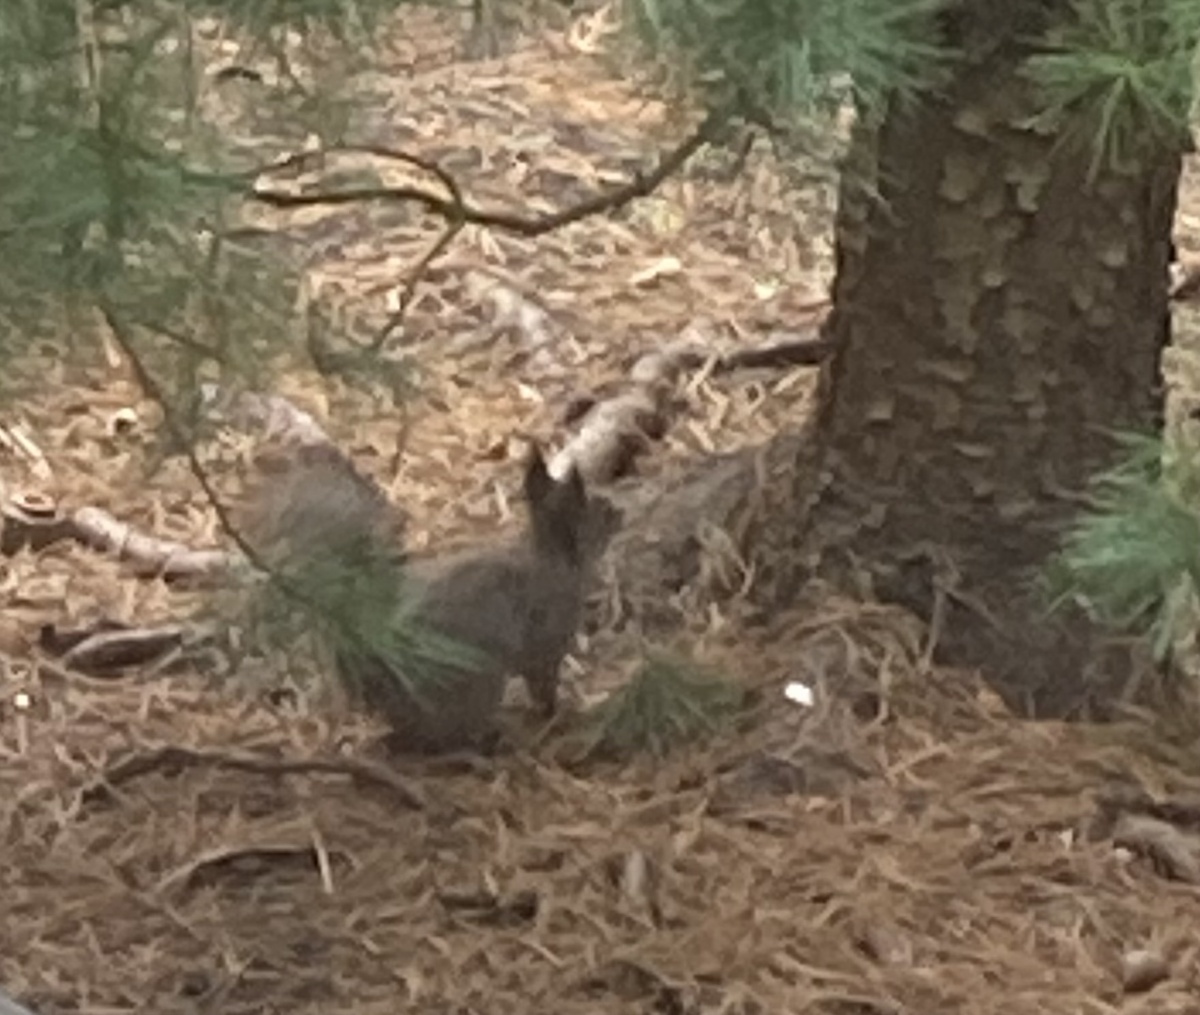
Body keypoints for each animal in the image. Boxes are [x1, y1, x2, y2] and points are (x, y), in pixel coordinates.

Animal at [241, 441, 622, 753]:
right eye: (599, 511)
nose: (620, 511)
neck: (551, 560)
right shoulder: (547, 641)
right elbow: (543, 684)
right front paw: (557, 713)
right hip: (476, 681)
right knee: (435, 737)